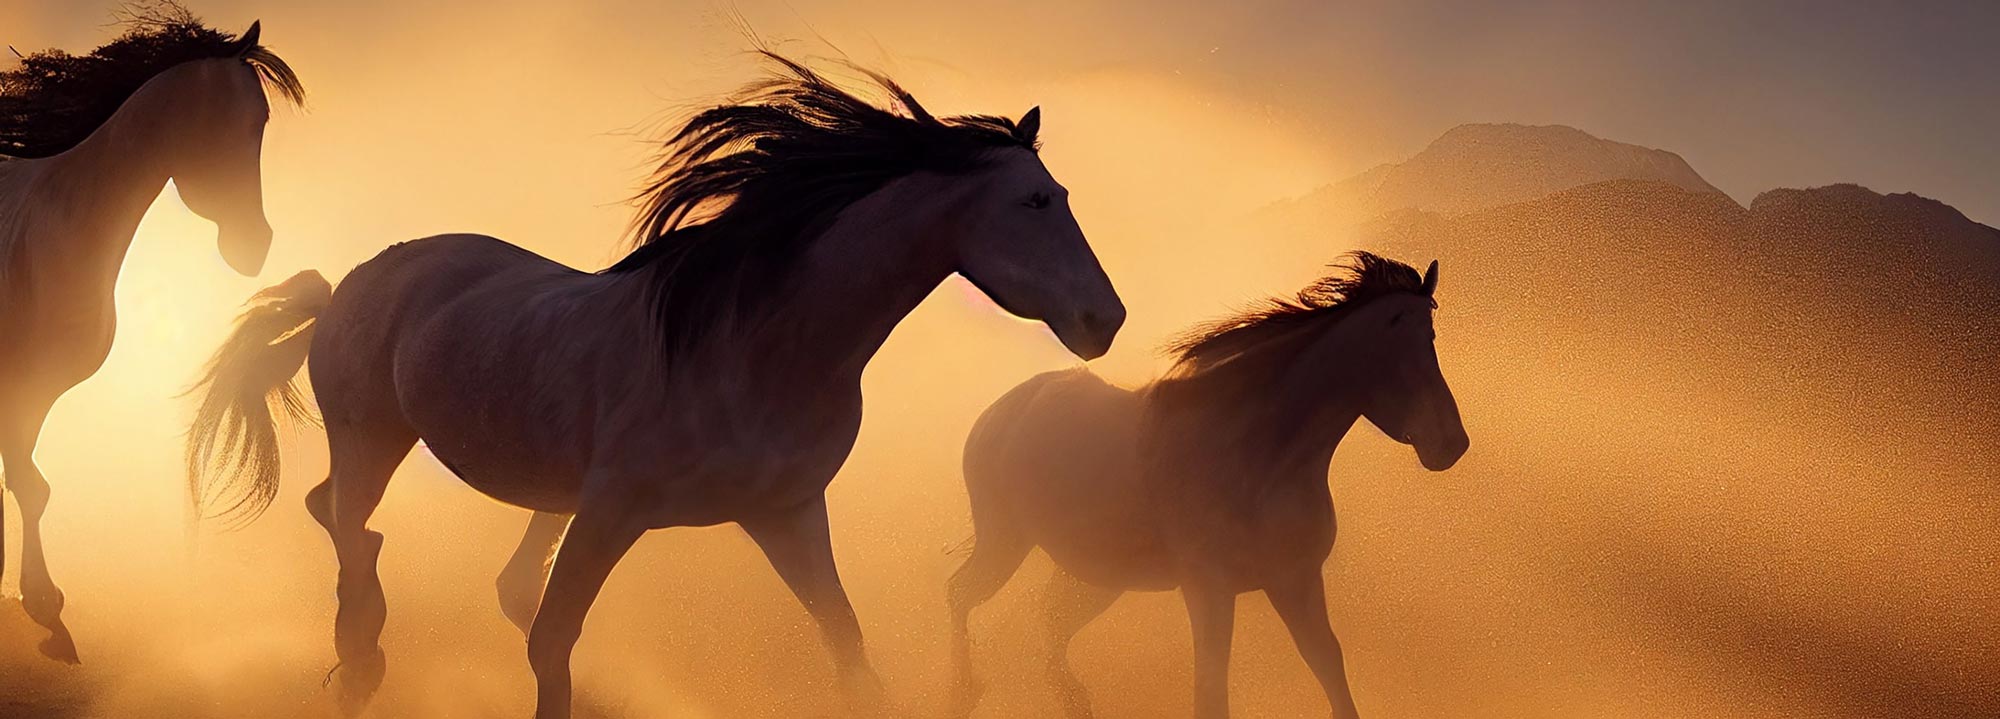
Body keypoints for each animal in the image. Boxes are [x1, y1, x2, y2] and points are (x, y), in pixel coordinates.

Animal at [0, 17, 303, 663]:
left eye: (261, 121)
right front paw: (47, 612)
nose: (254, 244)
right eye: (227, 124)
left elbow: (27, 486)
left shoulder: (35, 395)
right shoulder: (16, 390)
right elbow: (31, 488)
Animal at [184, 53, 1125, 719]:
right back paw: (362, 658)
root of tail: (350, 281)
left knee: (393, 537)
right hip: (376, 435)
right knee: (350, 521)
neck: (758, 349)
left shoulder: (786, 513)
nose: (1106, 318)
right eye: (1037, 201)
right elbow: (552, 643)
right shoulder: (613, 507)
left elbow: (848, 647)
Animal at [947, 252, 1468, 719]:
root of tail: (996, 415)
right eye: (1397, 346)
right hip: (1006, 543)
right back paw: (964, 693)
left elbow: (1329, 672)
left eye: (1431, 337)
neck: (1259, 461)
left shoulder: (1294, 580)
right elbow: (1211, 690)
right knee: (960, 593)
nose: (1451, 443)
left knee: (1050, 624)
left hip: (1096, 578)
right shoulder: (1208, 589)